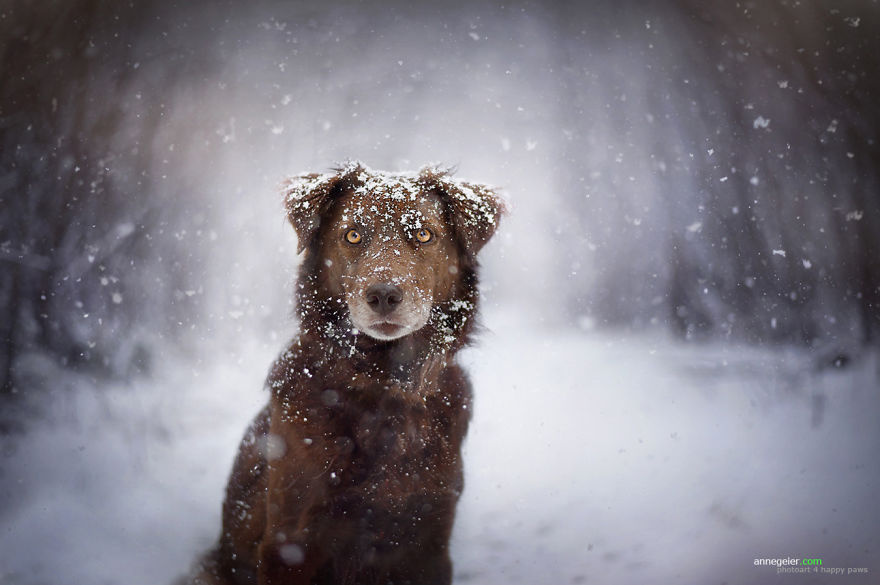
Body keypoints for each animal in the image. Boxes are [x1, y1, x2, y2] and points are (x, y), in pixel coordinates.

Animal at [186, 161, 502, 584]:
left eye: (423, 234)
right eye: (353, 235)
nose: (383, 295)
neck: (383, 388)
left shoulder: (430, 543)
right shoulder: (289, 544)